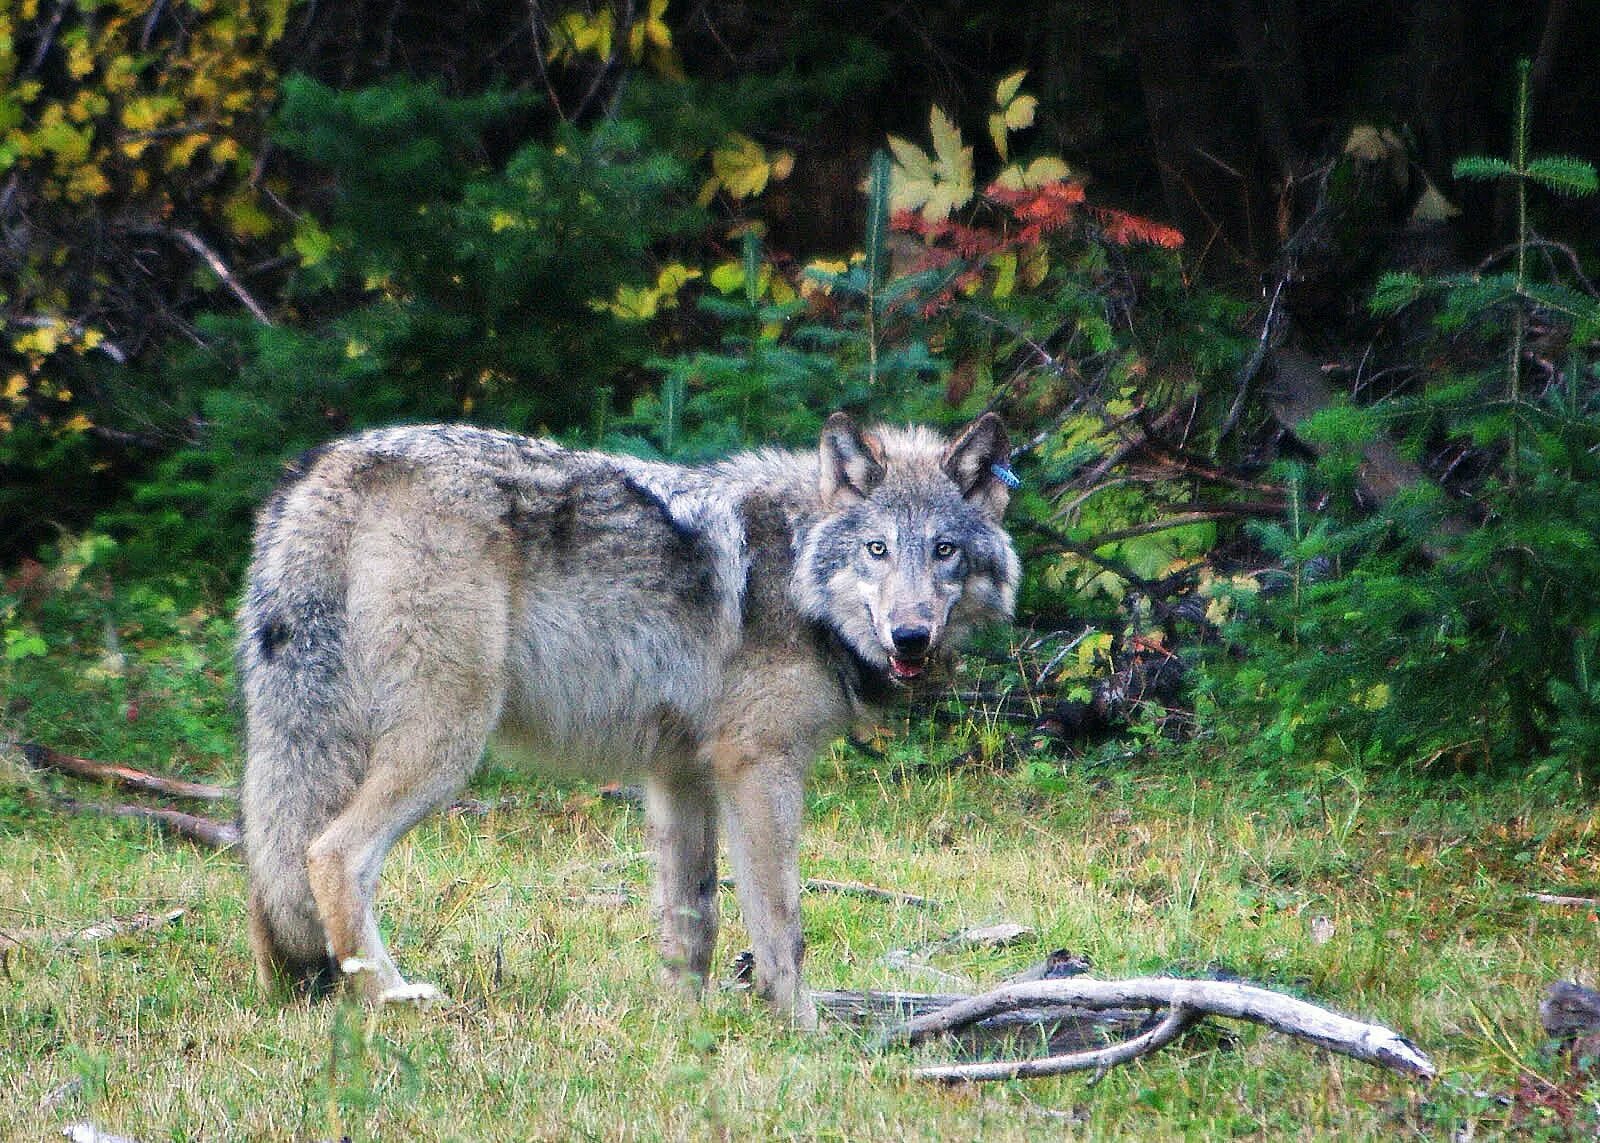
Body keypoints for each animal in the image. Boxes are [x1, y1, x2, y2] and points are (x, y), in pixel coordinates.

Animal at [240, 413, 1011, 1024]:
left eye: (944, 551)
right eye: (876, 549)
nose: (910, 637)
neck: (797, 572)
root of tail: (336, 461)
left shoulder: (680, 774)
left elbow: (692, 920)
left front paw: (685, 1028)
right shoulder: (759, 766)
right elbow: (781, 926)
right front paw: (803, 1032)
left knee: (271, 861)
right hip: (449, 746)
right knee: (331, 853)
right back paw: (391, 997)